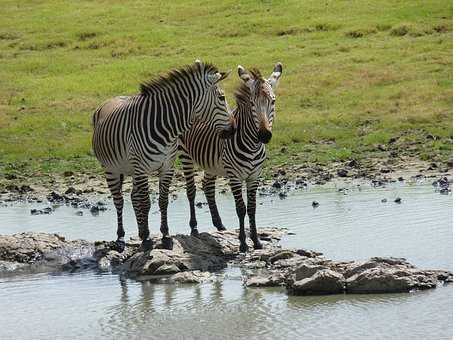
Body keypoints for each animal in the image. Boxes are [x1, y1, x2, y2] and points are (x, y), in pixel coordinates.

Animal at [91, 61, 233, 252]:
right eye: (222, 98)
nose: (233, 129)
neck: (165, 127)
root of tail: (106, 102)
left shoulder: (167, 167)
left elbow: (163, 201)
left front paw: (165, 235)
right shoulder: (142, 168)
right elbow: (146, 202)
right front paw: (148, 239)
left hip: (131, 169)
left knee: (133, 196)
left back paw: (140, 231)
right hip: (111, 169)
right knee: (119, 201)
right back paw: (121, 238)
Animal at [177, 62, 282, 251]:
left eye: (273, 101)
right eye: (252, 103)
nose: (264, 135)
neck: (252, 145)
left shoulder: (254, 176)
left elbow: (252, 208)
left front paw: (256, 241)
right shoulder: (235, 176)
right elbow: (241, 208)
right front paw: (243, 243)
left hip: (211, 162)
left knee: (207, 186)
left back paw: (219, 224)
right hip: (185, 155)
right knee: (191, 190)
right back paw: (194, 227)